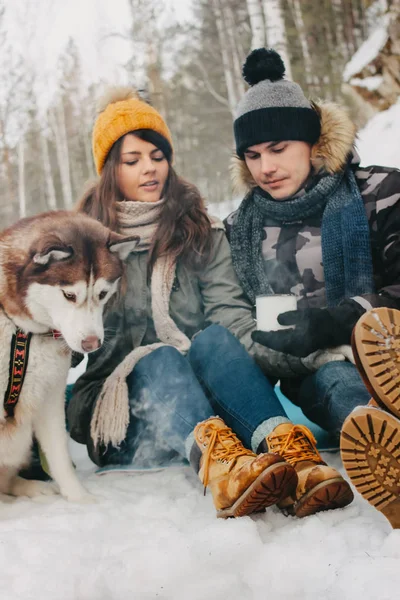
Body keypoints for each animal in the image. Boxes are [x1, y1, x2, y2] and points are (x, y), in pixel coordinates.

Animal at [0, 211, 139, 502]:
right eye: (69, 295)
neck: (23, 331)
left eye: (102, 293)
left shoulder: (49, 394)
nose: (92, 343)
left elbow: (59, 456)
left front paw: (81, 500)